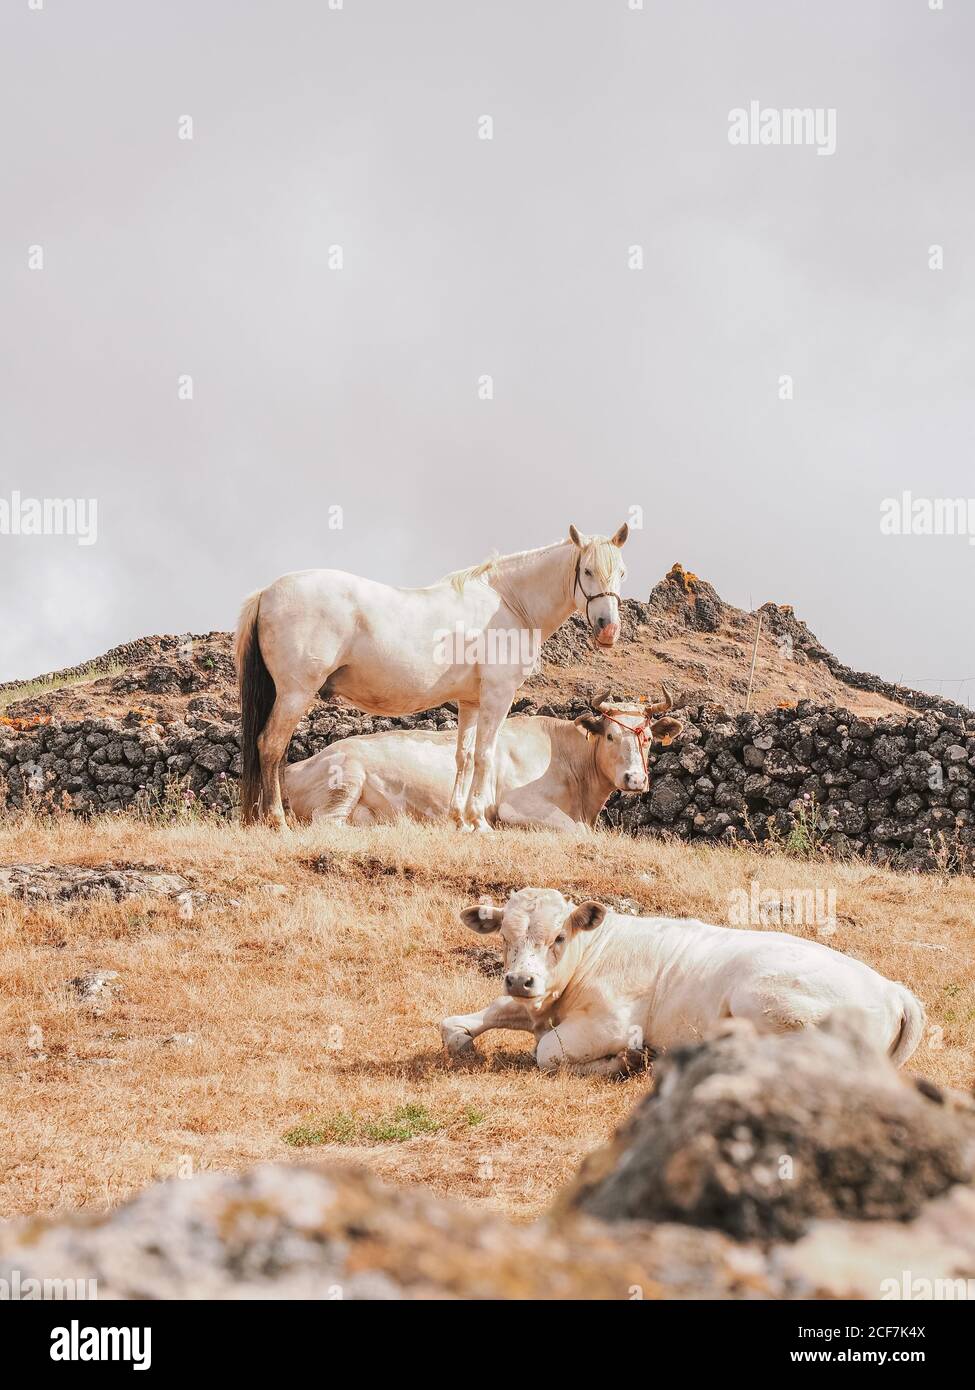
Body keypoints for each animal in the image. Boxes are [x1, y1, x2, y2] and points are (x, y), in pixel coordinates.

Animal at [236, 522, 631, 822]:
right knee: (270, 746)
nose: (607, 629)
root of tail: (266, 592)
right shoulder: (497, 696)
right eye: (587, 570)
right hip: (294, 693)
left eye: (622, 572)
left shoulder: (471, 702)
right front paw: (478, 821)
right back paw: (276, 820)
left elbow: (465, 757)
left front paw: (459, 820)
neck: (508, 604)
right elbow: (486, 756)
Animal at [442, 884, 929, 1078]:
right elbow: (477, 1017)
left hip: (760, 997)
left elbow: (545, 1052)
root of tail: (892, 989)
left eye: (559, 937)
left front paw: (624, 1060)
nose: (521, 980)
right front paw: (462, 1033)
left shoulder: (611, 1023)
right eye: (504, 937)